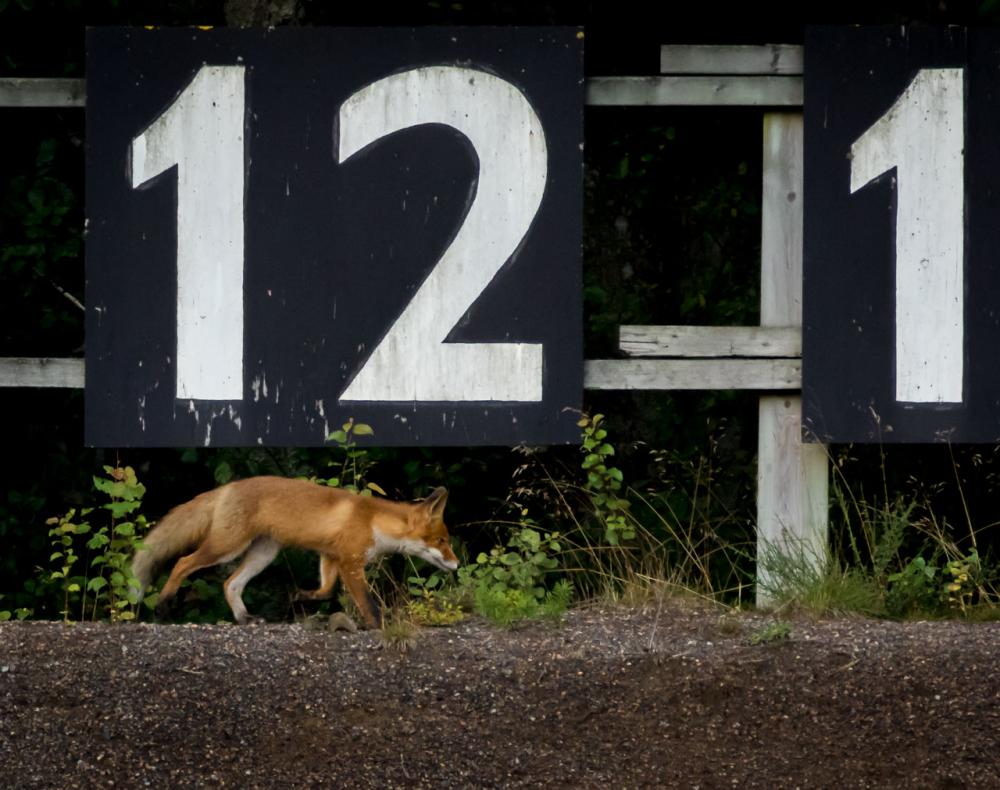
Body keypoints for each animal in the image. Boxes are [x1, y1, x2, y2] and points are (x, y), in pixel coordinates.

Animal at [130, 476, 458, 628]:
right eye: (442, 541)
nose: (456, 565)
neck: (374, 521)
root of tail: (228, 487)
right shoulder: (350, 562)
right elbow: (368, 604)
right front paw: (380, 627)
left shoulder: (330, 556)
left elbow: (325, 591)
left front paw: (300, 596)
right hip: (225, 548)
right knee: (182, 563)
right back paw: (163, 605)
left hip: (263, 554)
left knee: (230, 583)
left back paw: (244, 618)